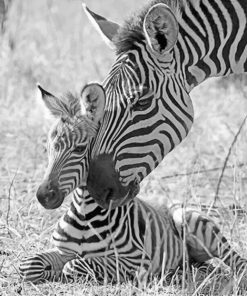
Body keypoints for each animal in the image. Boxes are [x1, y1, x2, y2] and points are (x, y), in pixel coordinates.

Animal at [20, 88, 247, 290]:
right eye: (48, 148)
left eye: (79, 149)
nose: (43, 196)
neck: (85, 214)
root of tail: (170, 206)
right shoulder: (64, 250)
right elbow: (28, 265)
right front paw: (49, 272)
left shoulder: (136, 259)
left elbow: (76, 265)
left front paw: (62, 273)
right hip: (192, 255)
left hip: (192, 221)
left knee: (235, 260)